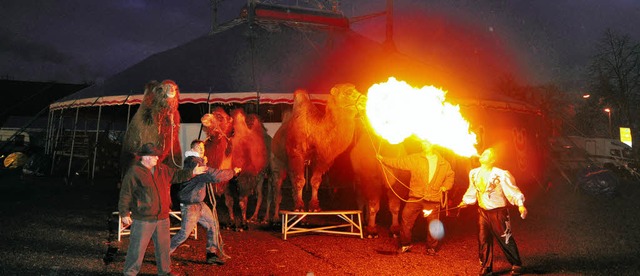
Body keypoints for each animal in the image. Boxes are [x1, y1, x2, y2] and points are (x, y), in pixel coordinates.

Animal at [264, 83, 364, 221]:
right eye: (348, 92)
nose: (364, 100)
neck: (315, 131)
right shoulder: (297, 154)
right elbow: (301, 181)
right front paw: (300, 207)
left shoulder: (322, 158)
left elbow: (315, 181)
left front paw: (314, 206)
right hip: (277, 160)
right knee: (278, 184)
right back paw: (275, 217)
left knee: (292, 181)